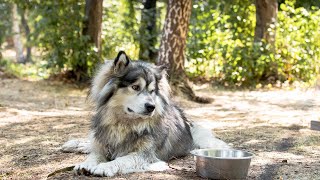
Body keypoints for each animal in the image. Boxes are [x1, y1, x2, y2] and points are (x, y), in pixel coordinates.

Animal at [61, 51, 229, 177]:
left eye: (152, 91)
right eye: (135, 87)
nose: (151, 107)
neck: (124, 124)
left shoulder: (146, 156)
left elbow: (122, 160)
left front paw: (105, 167)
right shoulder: (104, 145)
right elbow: (94, 154)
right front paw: (86, 164)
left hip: (204, 140)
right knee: (91, 143)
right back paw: (74, 144)